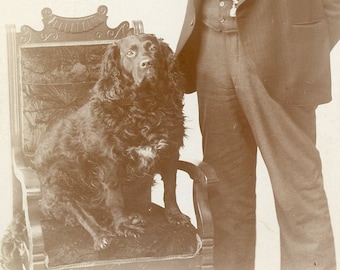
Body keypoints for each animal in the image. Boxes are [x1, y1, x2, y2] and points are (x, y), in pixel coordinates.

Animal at [33, 33, 191, 251]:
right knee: (78, 211)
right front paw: (122, 226)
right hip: (59, 177)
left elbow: (170, 190)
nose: (147, 63)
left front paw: (174, 215)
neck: (144, 106)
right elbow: (115, 199)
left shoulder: (170, 152)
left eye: (153, 49)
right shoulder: (109, 161)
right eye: (130, 53)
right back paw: (101, 235)